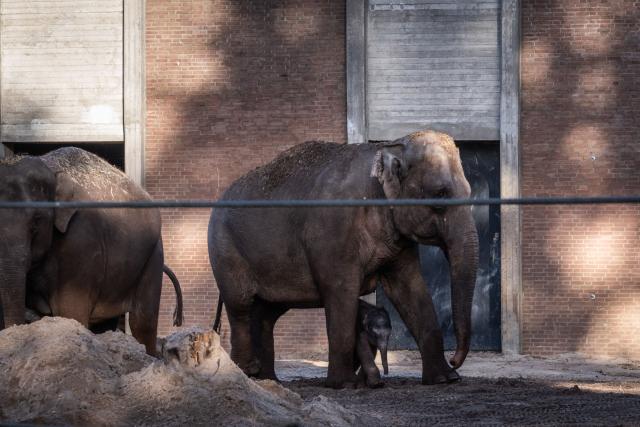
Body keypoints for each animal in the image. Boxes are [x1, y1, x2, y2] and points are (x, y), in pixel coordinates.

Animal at [208, 130, 479, 388]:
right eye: (440, 195)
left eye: (470, 192)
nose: (455, 359)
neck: (388, 147)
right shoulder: (332, 231)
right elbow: (341, 291)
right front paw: (345, 384)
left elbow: (409, 288)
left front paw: (446, 379)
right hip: (225, 251)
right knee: (241, 305)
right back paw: (247, 372)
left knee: (265, 314)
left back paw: (267, 380)